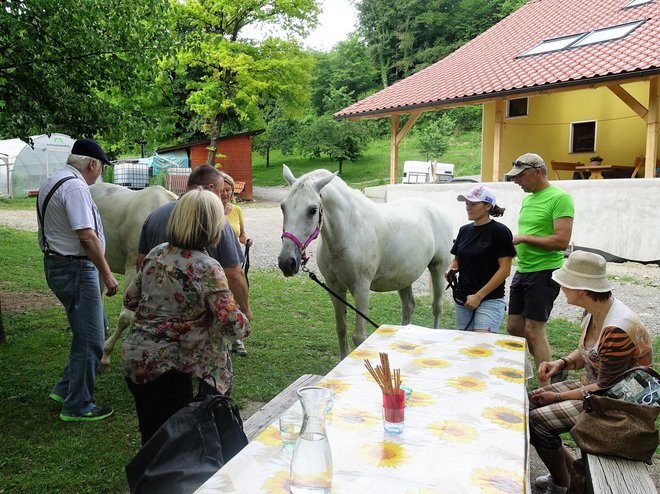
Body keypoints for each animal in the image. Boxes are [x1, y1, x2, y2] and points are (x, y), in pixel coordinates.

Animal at [278, 167, 454, 358]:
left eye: (312, 210)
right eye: (283, 207)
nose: (286, 262)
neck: (348, 232)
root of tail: (438, 210)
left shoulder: (361, 289)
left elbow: (359, 337)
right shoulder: (335, 289)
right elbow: (341, 329)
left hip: (438, 270)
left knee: (437, 307)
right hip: (403, 277)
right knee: (408, 307)